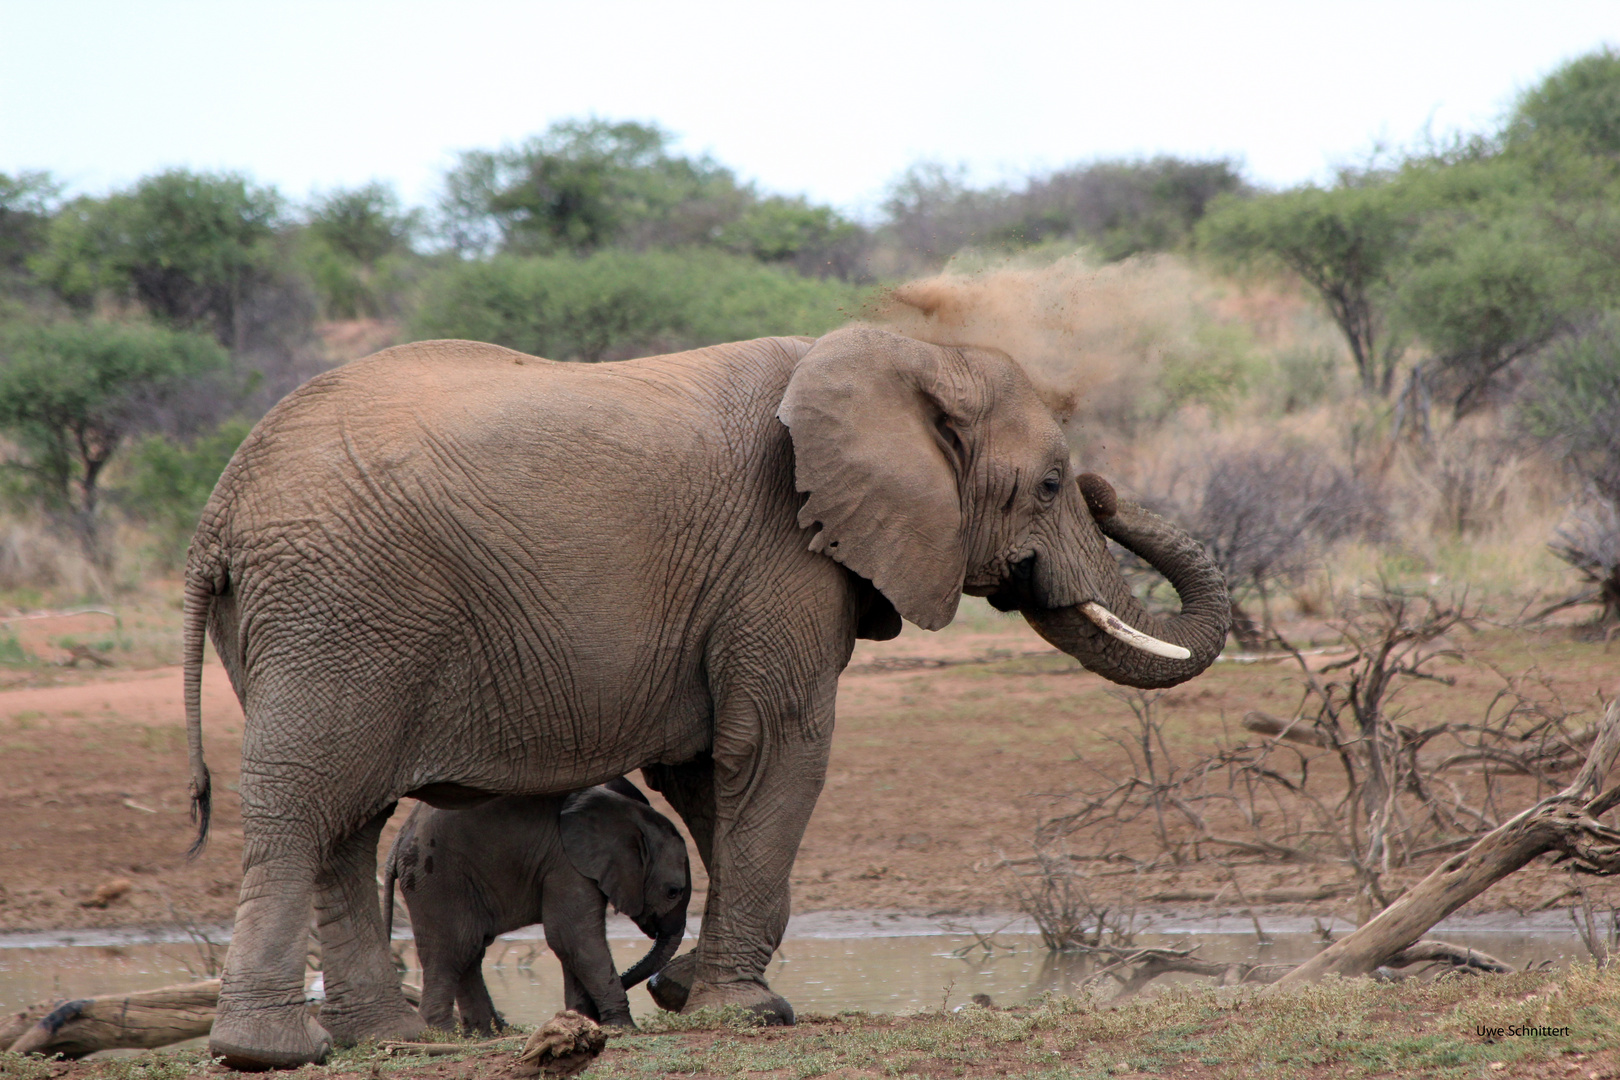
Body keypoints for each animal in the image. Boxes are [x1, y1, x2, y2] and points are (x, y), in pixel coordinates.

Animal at [383, 777, 690, 1029]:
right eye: (673, 892)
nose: (655, 984)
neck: (631, 815)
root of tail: (398, 840)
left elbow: (572, 944)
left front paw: (580, 1021)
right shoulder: (565, 863)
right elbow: (573, 938)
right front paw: (623, 1027)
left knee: (470, 949)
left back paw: (491, 1032)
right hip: (435, 877)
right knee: (453, 948)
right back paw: (443, 1033)